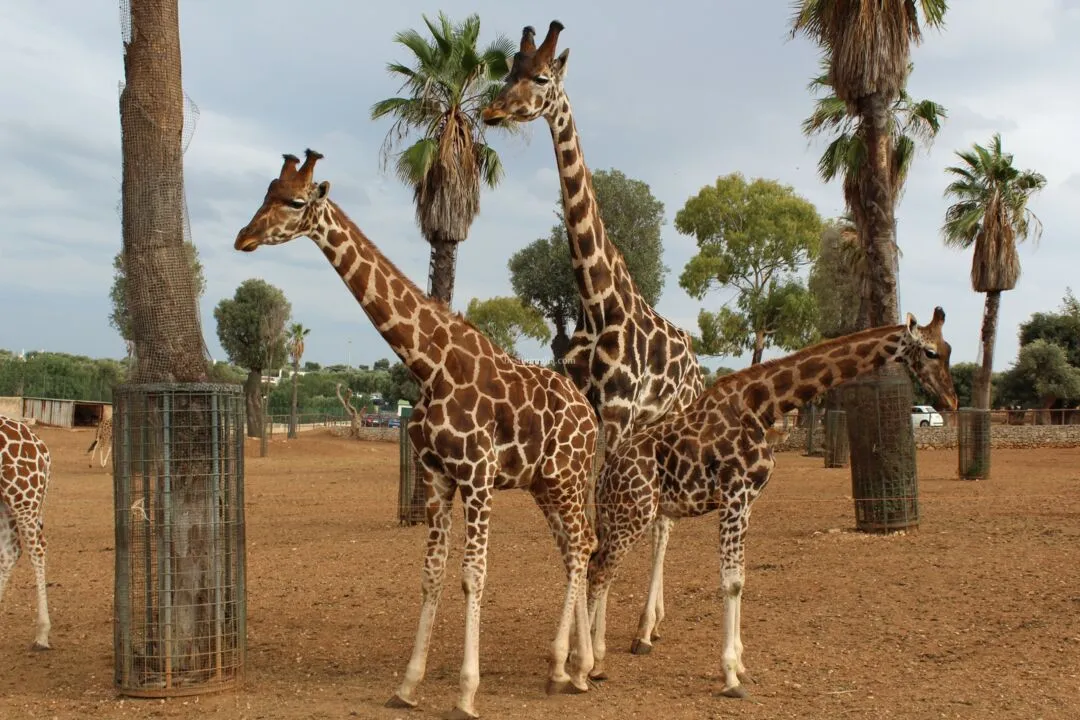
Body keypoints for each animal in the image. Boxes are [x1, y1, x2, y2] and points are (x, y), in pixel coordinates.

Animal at [234, 148, 600, 716]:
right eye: (266, 191)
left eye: (294, 201)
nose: (243, 237)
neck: (429, 364)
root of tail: (589, 413)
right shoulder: (439, 478)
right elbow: (432, 574)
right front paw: (407, 685)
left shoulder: (477, 477)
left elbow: (473, 575)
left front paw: (466, 693)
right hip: (546, 484)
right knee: (574, 547)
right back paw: (574, 671)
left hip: (564, 477)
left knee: (582, 545)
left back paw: (567, 664)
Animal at [479, 18, 699, 660]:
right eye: (509, 69)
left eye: (542, 79)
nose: (493, 111)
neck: (597, 302)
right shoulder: (590, 409)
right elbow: (588, 524)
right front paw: (584, 646)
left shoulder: (620, 412)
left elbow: (605, 521)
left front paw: (593, 650)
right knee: (660, 513)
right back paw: (648, 625)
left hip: (668, 421)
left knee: (664, 521)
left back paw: (645, 630)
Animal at [587, 308, 959, 690]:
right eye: (930, 352)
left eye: (948, 349)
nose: (950, 402)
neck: (764, 405)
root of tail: (605, 473)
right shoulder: (734, 497)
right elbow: (731, 582)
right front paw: (730, 675)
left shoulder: (747, 502)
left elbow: (741, 579)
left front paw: (740, 664)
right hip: (635, 510)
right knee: (601, 571)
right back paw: (587, 664)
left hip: (623, 514)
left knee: (598, 567)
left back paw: (595, 656)